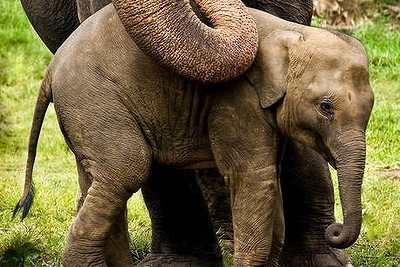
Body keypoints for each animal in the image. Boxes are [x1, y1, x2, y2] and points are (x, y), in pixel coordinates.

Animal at [14, 2, 372, 267]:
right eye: (325, 107)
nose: (335, 230)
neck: (293, 35)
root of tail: (50, 71)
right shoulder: (235, 101)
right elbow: (254, 179)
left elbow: (269, 186)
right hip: (95, 101)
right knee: (127, 169)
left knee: (98, 181)